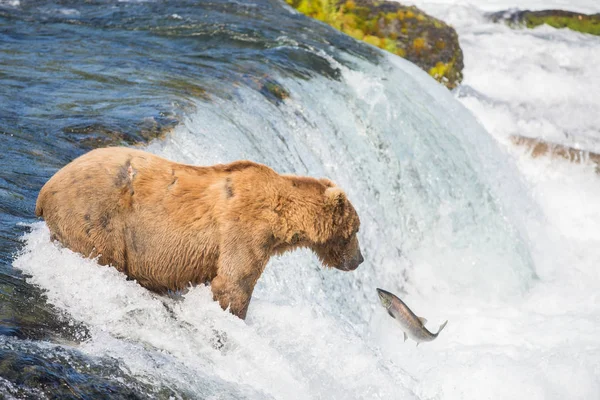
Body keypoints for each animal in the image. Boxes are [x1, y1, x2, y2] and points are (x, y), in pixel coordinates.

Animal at [38, 147, 366, 318]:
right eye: (355, 230)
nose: (359, 260)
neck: (283, 215)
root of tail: (45, 189)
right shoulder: (245, 229)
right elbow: (234, 282)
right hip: (95, 216)